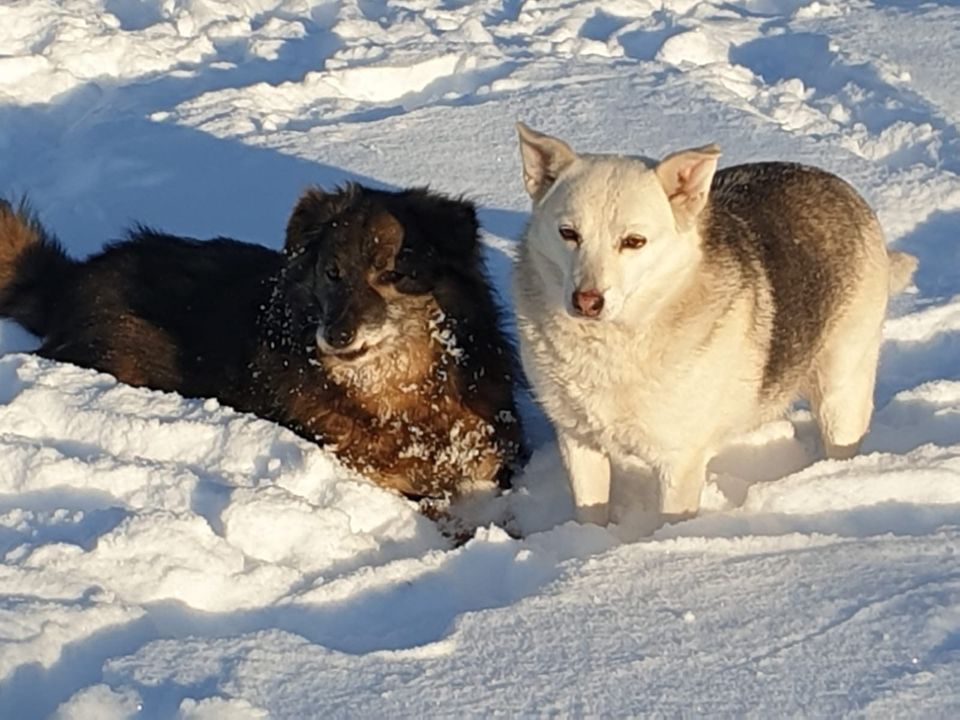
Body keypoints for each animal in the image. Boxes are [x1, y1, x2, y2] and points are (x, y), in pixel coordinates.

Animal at [512, 124, 920, 524]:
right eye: (569, 234)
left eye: (633, 241)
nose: (587, 301)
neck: (613, 346)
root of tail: (840, 186)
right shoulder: (578, 443)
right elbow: (589, 513)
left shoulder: (678, 462)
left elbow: (672, 523)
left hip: (841, 393)